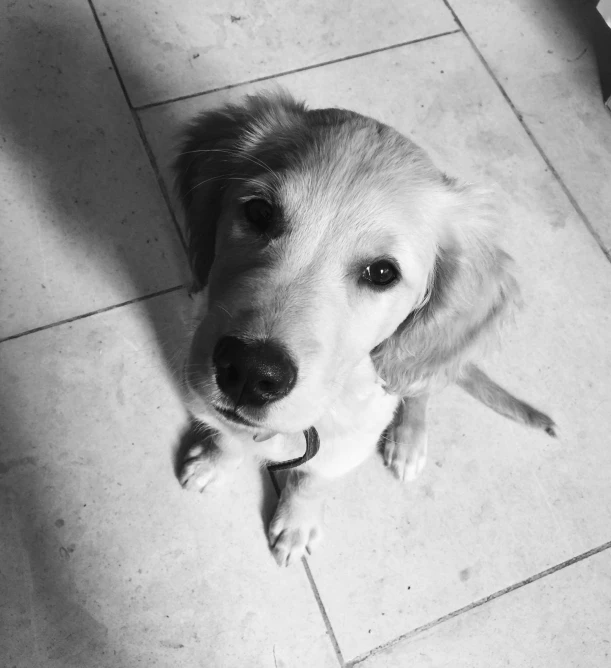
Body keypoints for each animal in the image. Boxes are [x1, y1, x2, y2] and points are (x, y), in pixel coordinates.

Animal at [172, 91, 556, 568]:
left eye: (382, 273)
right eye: (259, 212)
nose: (250, 371)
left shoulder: (346, 447)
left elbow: (311, 480)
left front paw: (296, 524)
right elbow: (226, 437)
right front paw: (213, 463)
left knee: (419, 386)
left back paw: (408, 441)